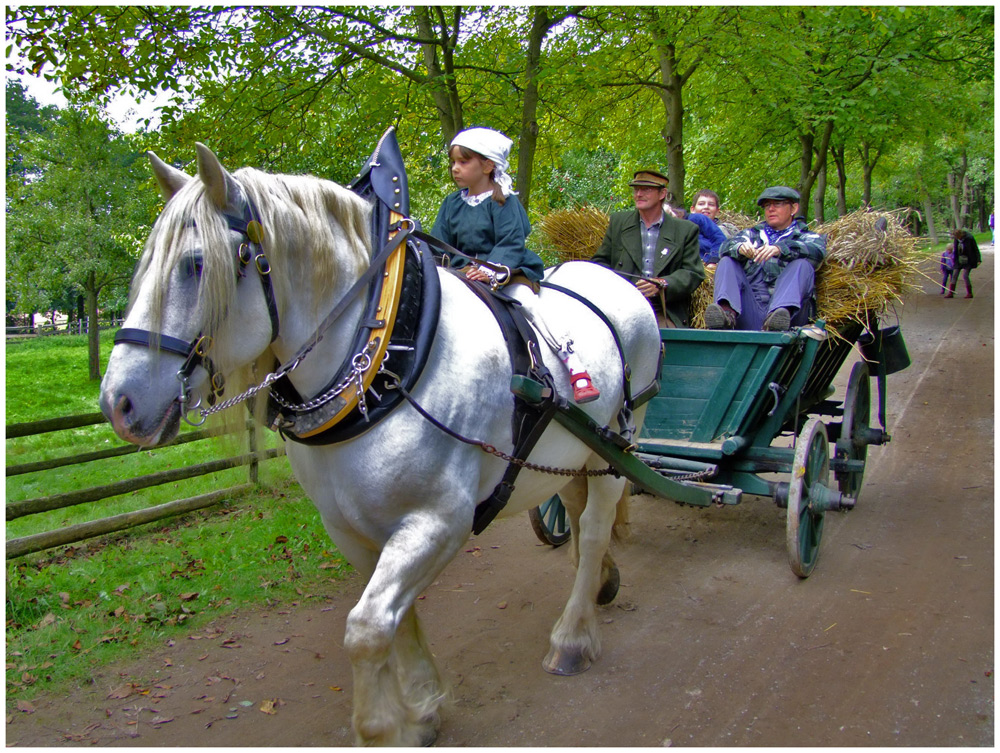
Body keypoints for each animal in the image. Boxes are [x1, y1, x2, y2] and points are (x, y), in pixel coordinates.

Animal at [99, 142, 664, 748]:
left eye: (196, 265)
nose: (118, 403)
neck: (384, 357)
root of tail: (612, 277)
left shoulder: (437, 521)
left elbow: (367, 628)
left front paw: (381, 727)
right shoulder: (352, 529)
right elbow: (398, 616)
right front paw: (422, 707)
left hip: (619, 443)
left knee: (596, 522)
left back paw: (573, 637)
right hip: (577, 452)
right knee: (578, 515)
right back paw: (599, 581)